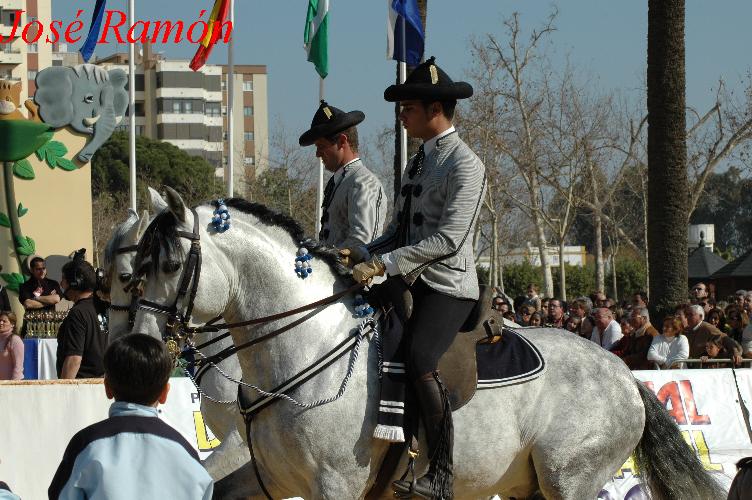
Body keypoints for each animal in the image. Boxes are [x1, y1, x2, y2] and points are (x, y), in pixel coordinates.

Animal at [129, 188, 724, 500]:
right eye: (135, 264)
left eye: (171, 264)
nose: (139, 344)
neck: (302, 351)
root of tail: (622, 375)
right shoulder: (265, 478)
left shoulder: (335, 486)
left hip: (569, 478)